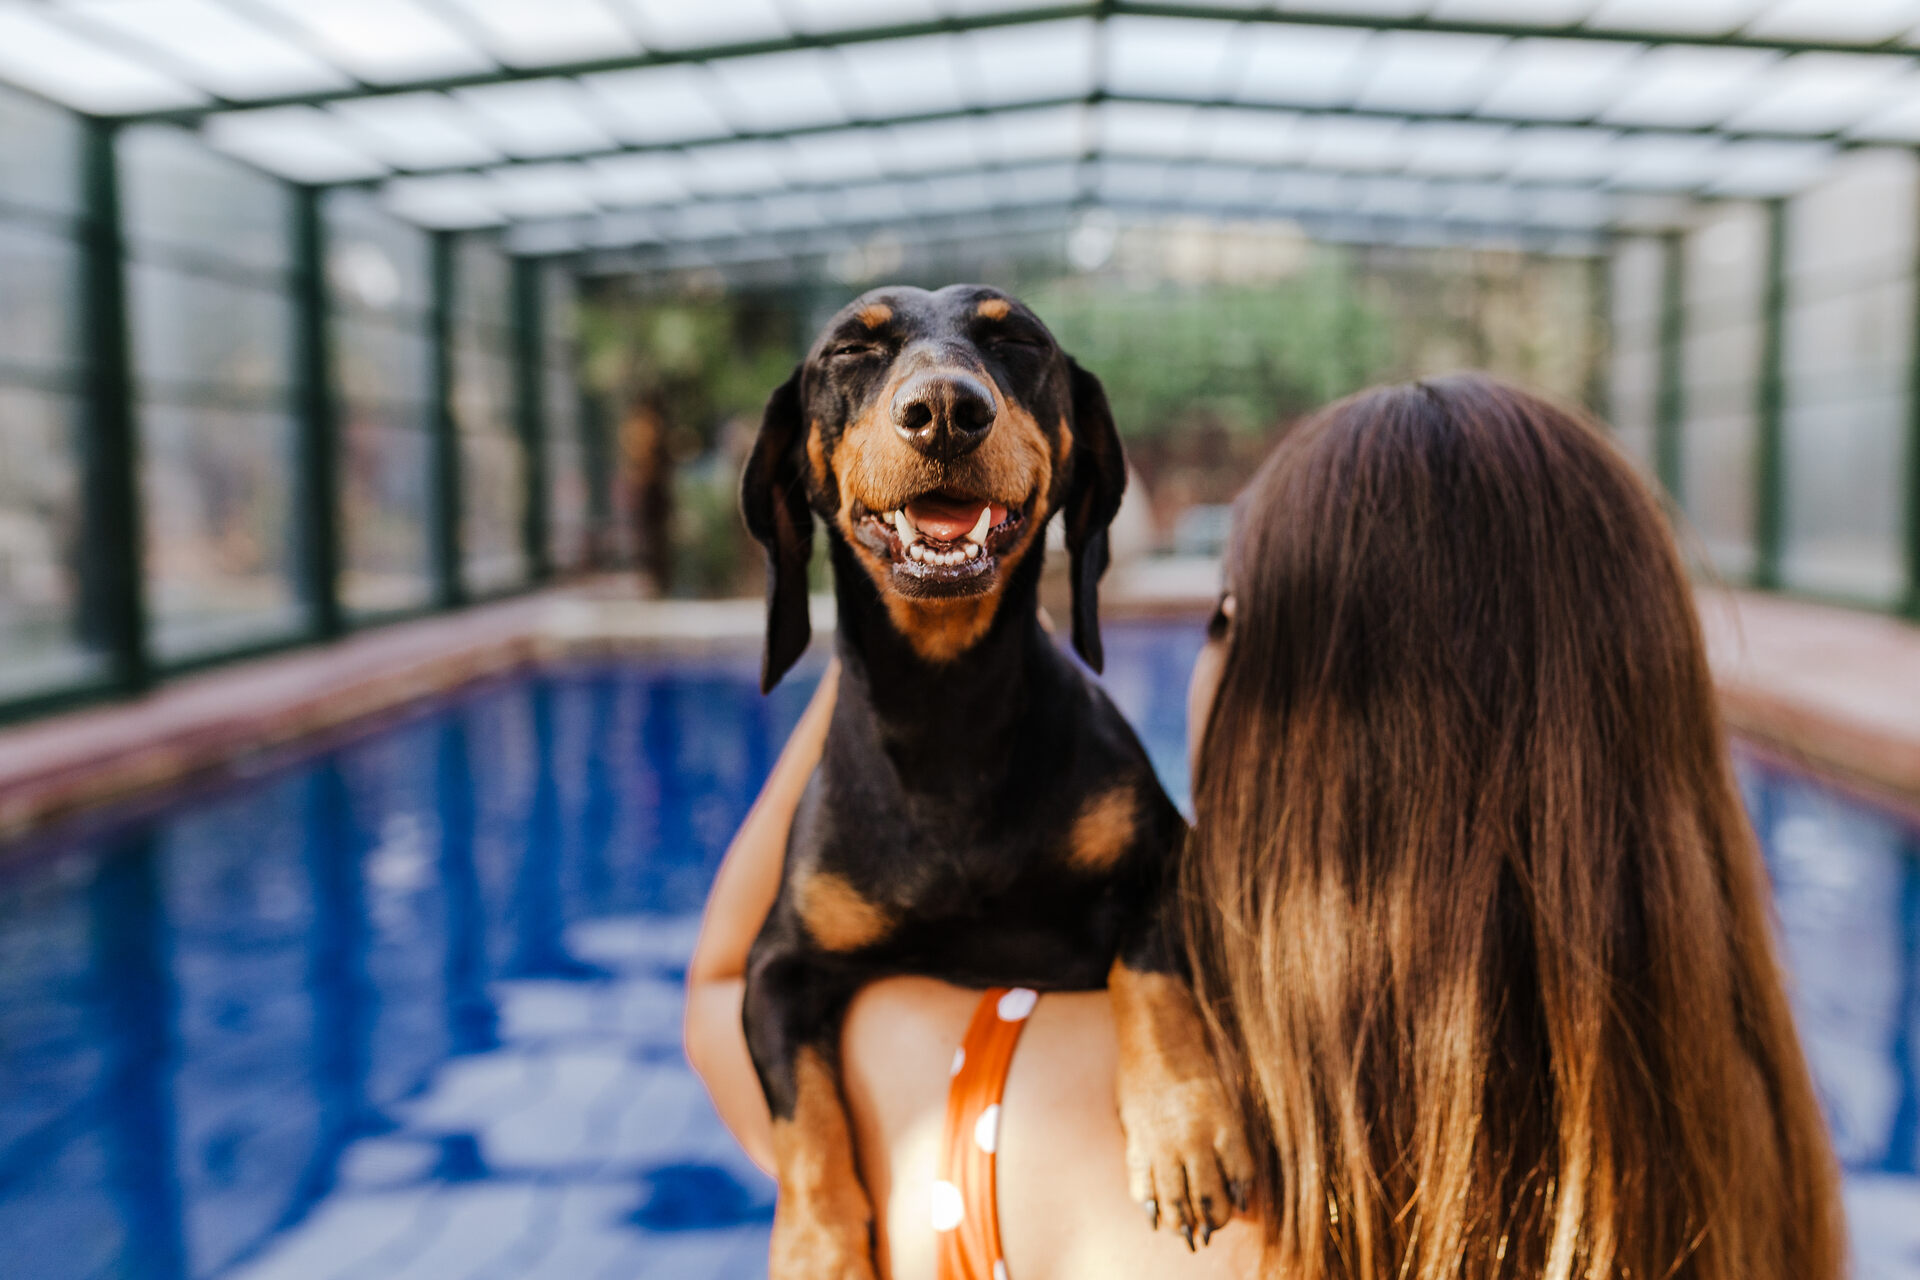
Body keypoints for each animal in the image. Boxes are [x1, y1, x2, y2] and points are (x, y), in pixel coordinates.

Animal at [733, 285, 1244, 1274]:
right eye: (850, 348)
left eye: (1018, 340)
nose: (943, 410)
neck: (951, 713)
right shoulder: (776, 966)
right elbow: (804, 1118)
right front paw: (818, 1247)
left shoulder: (1165, 867)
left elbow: (1151, 971)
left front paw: (1183, 1129)